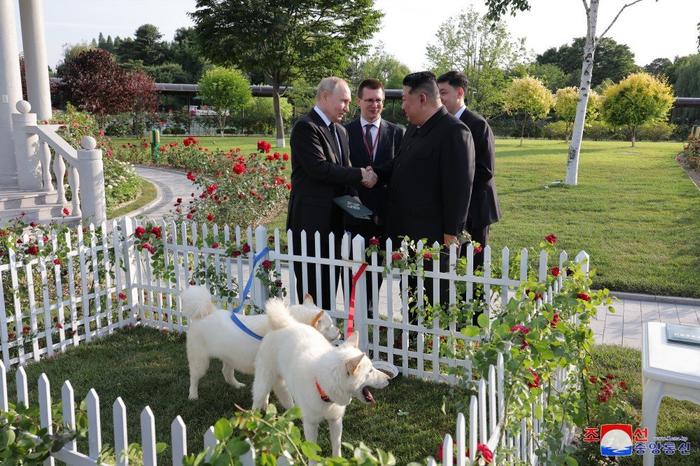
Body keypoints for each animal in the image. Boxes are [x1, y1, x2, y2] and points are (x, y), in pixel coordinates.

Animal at [180, 286, 340, 398]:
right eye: (330, 326)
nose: (339, 331)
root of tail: (205, 312)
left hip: (229, 357)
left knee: (226, 372)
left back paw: (237, 385)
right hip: (199, 360)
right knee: (194, 377)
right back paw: (193, 395)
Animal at [253, 298, 394, 458]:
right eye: (370, 371)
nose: (389, 378)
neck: (324, 389)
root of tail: (286, 324)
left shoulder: (336, 420)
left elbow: (337, 446)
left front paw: (338, 460)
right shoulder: (311, 425)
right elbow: (312, 453)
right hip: (263, 382)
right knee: (257, 401)